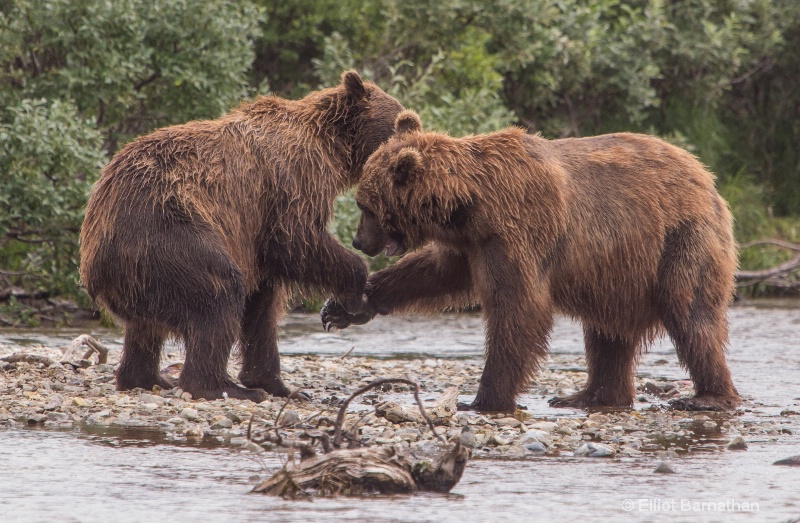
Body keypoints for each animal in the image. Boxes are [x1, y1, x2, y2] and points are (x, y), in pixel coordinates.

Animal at [81, 71, 404, 404]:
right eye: (401, 121)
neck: (332, 146)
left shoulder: (255, 243)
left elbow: (263, 310)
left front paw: (278, 384)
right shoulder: (292, 180)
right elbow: (297, 240)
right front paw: (354, 296)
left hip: (142, 274)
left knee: (144, 330)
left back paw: (147, 378)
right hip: (168, 236)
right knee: (218, 294)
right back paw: (220, 386)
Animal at [322, 109, 740, 414]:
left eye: (364, 206)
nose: (359, 241)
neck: (471, 206)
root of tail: (707, 177)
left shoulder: (518, 231)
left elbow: (519, 307)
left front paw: (483, 399)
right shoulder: (473, 244)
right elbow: (435, 274)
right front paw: (346, 305)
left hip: (681, 239)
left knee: (689, 312)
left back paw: (707, 397)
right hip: (617, 271)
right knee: (606, 333)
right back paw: (588, 395)